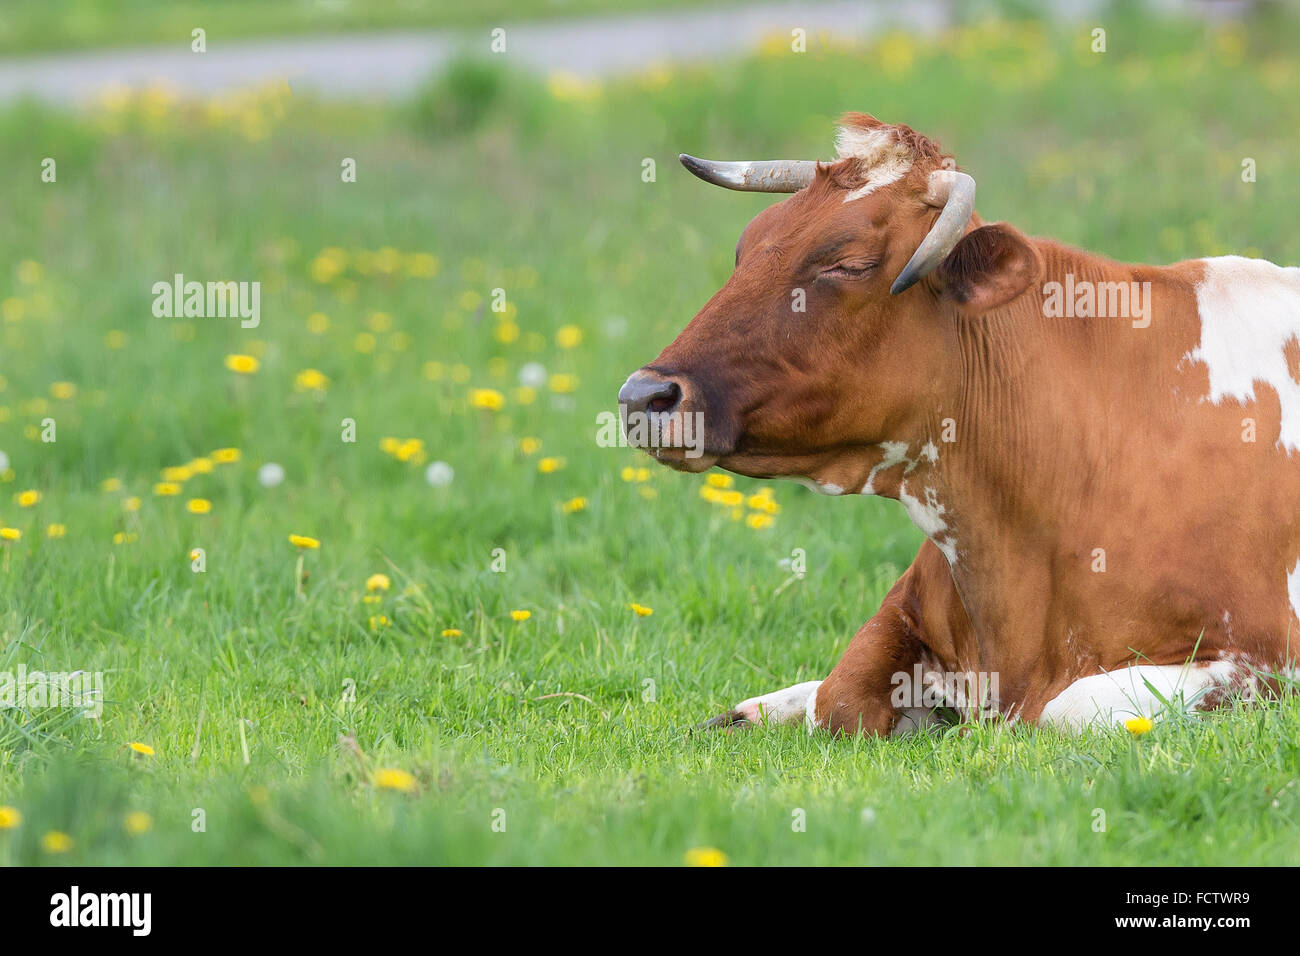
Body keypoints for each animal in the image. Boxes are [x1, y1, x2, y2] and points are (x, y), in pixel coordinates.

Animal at [616, 113, 1300, 738]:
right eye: (746, 248)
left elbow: (1067, 709)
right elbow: (840, 694)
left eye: (849, 264)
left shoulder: (1262, 659)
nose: (644, 395)